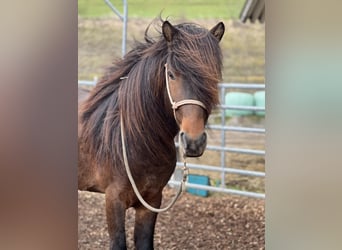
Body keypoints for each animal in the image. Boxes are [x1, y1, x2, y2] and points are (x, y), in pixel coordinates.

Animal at [79, 18, 226, 249]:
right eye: (171, 74)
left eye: (212, 77)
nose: (193, 141)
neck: (138, 139)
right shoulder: (113, 200)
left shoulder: (152, 200)